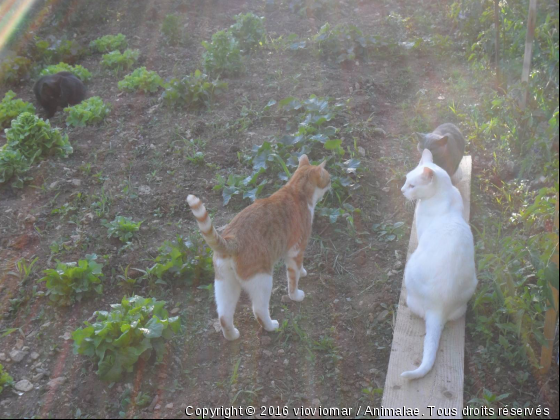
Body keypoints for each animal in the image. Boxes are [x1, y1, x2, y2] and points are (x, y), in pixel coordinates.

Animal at [188, 155, 330, 342]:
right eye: (328, 177)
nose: (331, 183)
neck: (295, 189)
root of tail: (231, 240)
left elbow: (299, 269)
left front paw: (303, 271)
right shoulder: (295, 250)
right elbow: (293, 279)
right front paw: (296, 295)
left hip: (225, 284)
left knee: (224, 316)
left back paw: (232, 335)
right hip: (263, 279)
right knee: (259, 310)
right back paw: (271, 326)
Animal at [398, 149, 476, 378]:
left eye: (412, 185)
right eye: (406, 181)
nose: (402, 190)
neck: (445, 194)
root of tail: (438, 308)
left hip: (411, 271)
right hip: (467, 295)